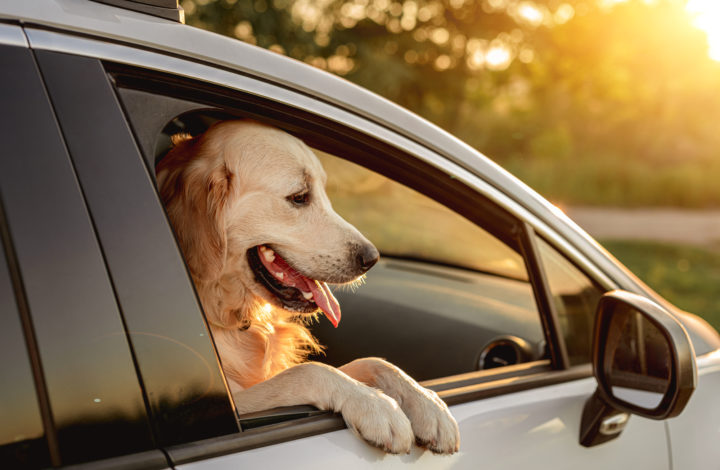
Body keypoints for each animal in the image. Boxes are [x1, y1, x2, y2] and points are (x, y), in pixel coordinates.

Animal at [158, 119, 462, 454]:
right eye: (300, 197)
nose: (371, 258)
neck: (225, 309)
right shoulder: (232, 406)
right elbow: (309, 371)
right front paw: (376, 405)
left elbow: (374, 362)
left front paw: (427, 403)